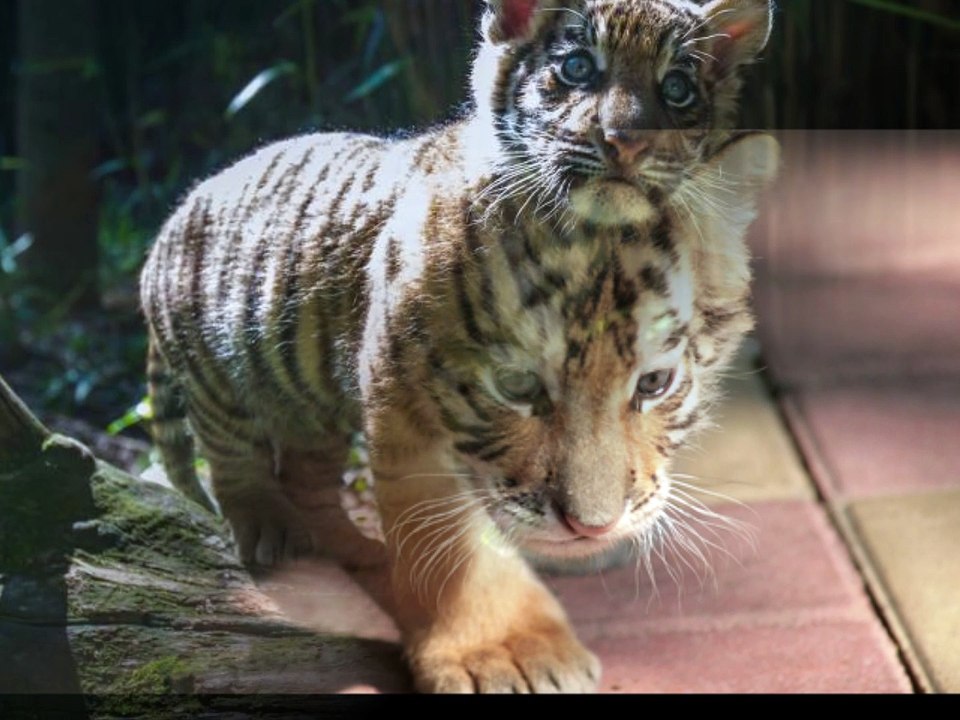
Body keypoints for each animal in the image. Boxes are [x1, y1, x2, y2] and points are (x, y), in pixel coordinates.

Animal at [141, 0, 779, 694]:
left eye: (654, 384)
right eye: (518, 386)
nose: (593, 526)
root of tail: (177, 214)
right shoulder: (400, 406)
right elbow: (444, 538)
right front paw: (498, 654)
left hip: (309, 402)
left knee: (308, 475)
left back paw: (354, 548)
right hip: (215, 368)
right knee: (231, 456)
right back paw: (265, 526)